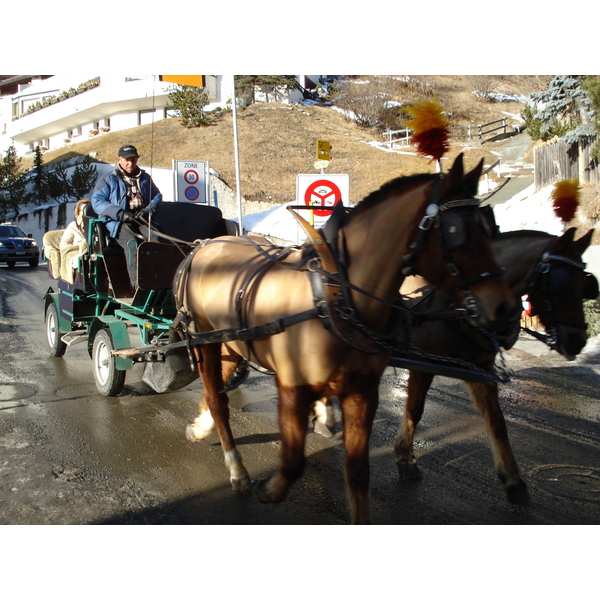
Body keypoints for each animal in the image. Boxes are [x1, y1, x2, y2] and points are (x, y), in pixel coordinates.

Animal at [176, 152, 516, 524]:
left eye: (491, 229)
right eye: (456, 231)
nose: (505, 308)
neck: (336, 298)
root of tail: (203, 247)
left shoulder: (363, 393)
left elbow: (357, 470)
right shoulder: (292, 388)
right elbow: (293, 462)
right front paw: (270, 489)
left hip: (233, 342)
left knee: (217, 389)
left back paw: (201, 426)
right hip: (205, 341)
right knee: (218, 400)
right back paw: (236, 468)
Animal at [392, 227, 592, 504]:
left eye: (586, 284)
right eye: (558, 284)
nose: (577, 340)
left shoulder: (482, 369)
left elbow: (496, 420)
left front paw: (512, 478)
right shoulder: (422, 363)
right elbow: (414, 410)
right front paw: (406, 457)